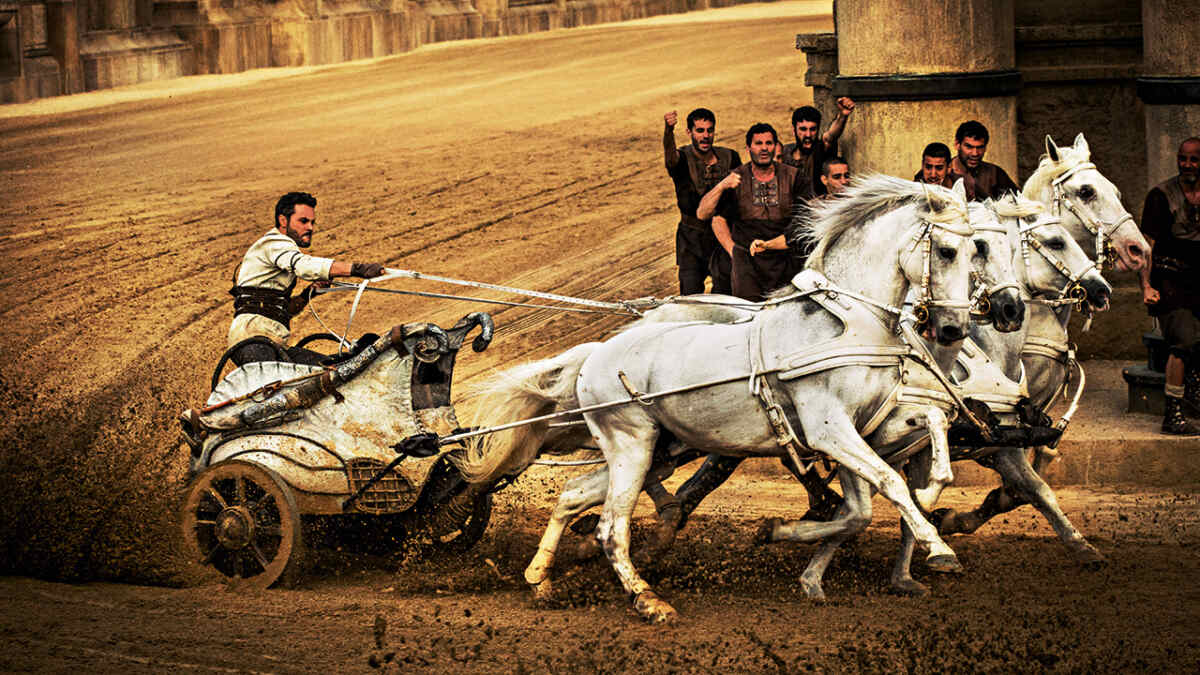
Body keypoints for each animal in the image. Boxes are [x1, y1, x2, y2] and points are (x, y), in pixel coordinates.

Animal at [453, 174, 979, 619]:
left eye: (975, 251)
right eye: (946, 250)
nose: (955, 328)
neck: (844, 324)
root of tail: (596, 354)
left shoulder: (869, 426)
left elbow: (920, 438)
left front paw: (931, 487)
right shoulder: (829, 430)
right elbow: (888, 483)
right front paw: (938, 546)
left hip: (658, 452)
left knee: (573, 495)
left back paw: (540, 578)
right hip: (631, 446)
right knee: (611, 527)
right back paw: (648, 601)